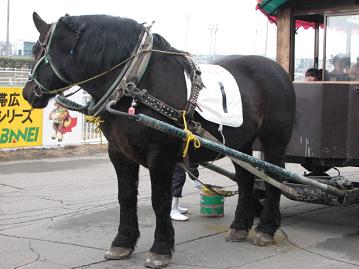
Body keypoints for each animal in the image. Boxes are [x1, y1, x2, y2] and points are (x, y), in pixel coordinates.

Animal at [23, 12, 296, 268]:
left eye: (38, 51)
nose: (28, 94)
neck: (136, 81)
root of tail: (278, 71)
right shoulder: (119, 153)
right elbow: (126, 197)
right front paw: (122, 242)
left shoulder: (160, 156)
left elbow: (160, 201)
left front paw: (161, 248)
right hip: (240, 144)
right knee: (246, 179)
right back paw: (240, 225)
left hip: (274, 141)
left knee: (275, 178)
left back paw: (266, 228)